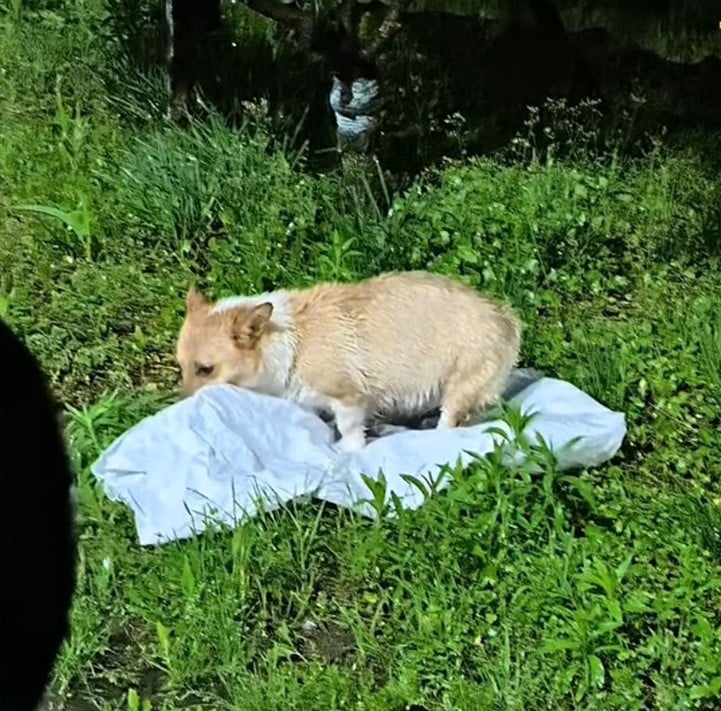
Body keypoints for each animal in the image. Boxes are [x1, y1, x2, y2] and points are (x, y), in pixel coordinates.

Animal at [176, 270, 520, 454]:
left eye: (206, 369)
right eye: (181, 366)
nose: (181, 407)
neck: (287, 342)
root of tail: (507, 319)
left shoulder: (348, 397)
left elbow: (349, 428)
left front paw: (346, 450)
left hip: (460, 387)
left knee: (449, 423)